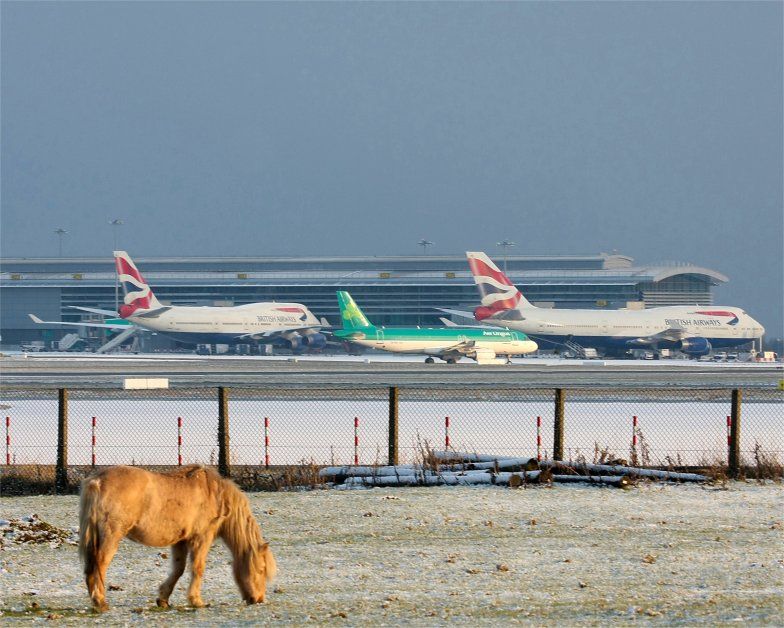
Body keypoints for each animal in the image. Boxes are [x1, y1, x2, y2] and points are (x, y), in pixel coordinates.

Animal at [79, 464, 276, 612]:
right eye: (261, 569)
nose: (259, 599)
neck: (215, 493)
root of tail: (97, 481)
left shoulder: (180, 541)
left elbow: (178, 570)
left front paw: (163, 599)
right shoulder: (201, 538)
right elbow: (197, 568)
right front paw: (196, 601)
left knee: (90, 567)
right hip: (111, 536)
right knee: (99, 565)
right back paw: (100, 601)